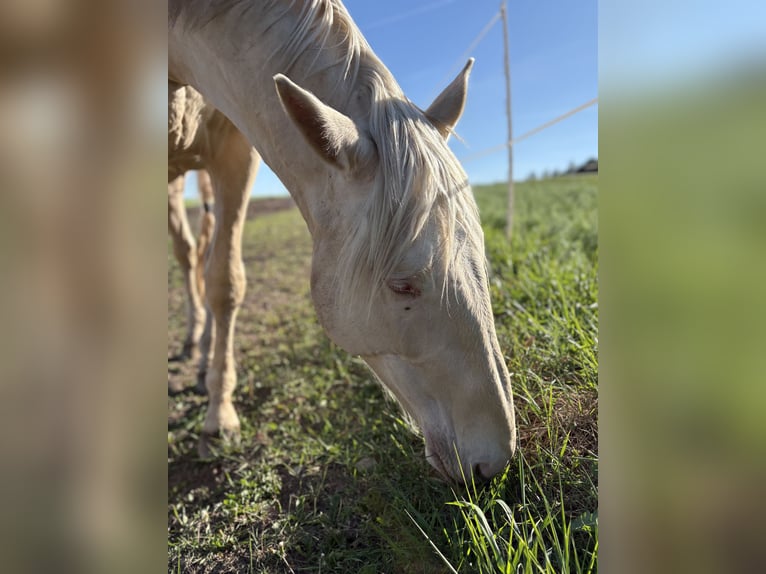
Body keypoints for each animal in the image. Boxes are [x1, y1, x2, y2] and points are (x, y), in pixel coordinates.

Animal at [169, 0, 517, 482]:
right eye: (401, 285)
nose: (494, 462)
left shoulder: (233, 150)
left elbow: (224, 281)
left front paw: (217, 408)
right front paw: (218, 422)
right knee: (187, 256)